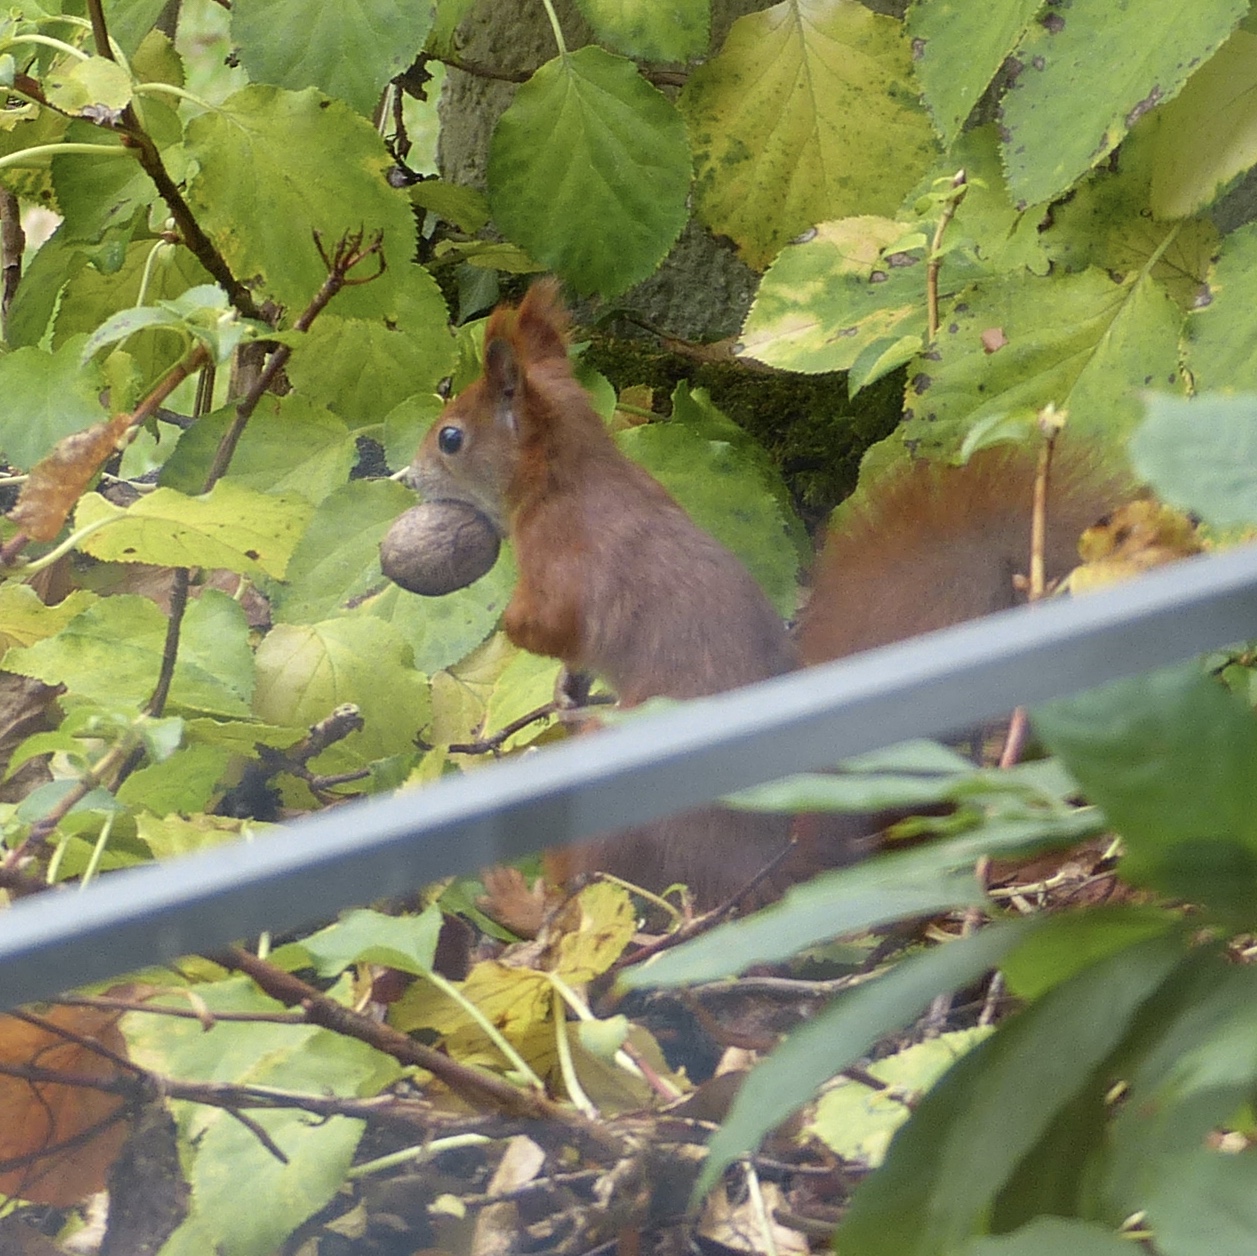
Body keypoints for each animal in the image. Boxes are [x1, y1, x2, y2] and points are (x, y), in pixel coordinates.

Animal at [407, 280, 1126, 910]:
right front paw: (567, 688)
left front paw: (514, 628)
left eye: (451, 438)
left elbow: (549, 622)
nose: (407, 478)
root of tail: (781, 856)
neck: (570, 476)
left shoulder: (568, 558)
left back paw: (524, 908)